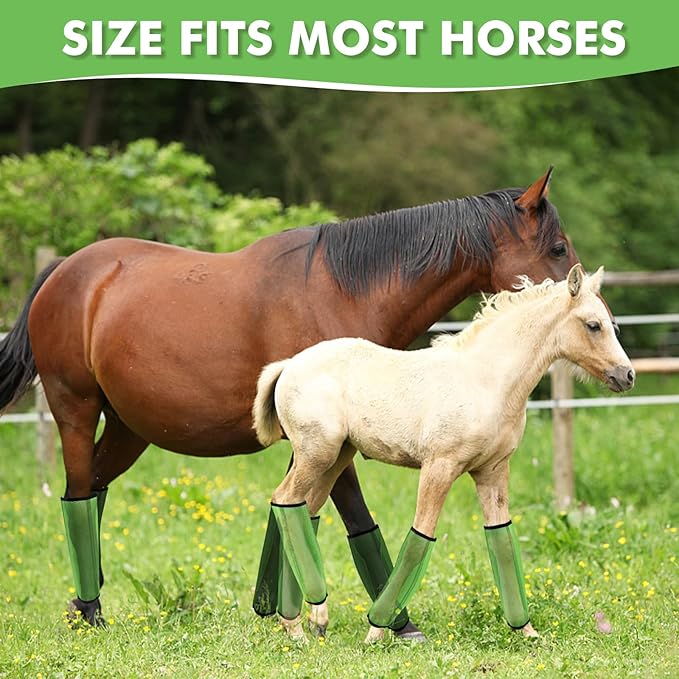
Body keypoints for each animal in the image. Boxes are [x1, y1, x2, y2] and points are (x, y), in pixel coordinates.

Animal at [0, 168, 580, 636]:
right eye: (557, 248)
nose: (588, 302)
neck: (344, 291)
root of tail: (65, 271)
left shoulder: (320, 441)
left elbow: (297, 514)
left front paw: (275, 608)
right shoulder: (335, 440)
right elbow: (354, 518)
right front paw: (394, 621)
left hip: (129, 428)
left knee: (94, 490)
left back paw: (84, 604)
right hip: (76, 410)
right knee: (78, 495)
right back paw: (91, 612)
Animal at [252, 264, 634, 643]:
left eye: (611, 323)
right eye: (593, 325)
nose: (627, 375)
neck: (486, 381)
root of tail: (289, 364)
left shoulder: (494, 471)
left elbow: (502, 539)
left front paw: (526, 631)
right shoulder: (440, 466)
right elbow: (421, 536)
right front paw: (378, 628)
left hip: (336, 459)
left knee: (304, 510)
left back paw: (309, 618)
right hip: (316, 454)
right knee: (284, 500)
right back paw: (295, 625)